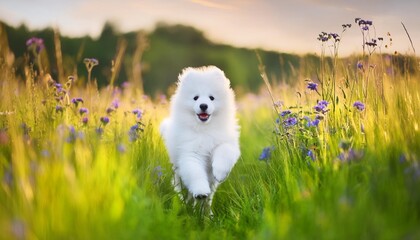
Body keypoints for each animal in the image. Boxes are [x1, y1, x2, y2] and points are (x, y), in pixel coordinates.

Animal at [160, 65, 241, 206]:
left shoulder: (226, 142)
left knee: (208, 200)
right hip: (178, 175)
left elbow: (224, 152)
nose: (203, 105)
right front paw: (200, 191)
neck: (204, 130)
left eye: (211, 98)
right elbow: (195, 173)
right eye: (195, 98)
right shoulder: (191, 153)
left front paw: (219, 172)